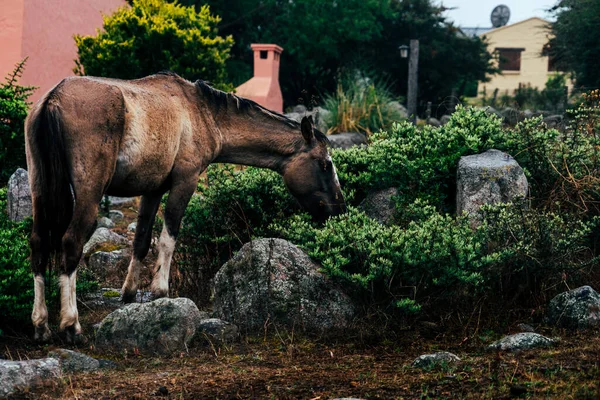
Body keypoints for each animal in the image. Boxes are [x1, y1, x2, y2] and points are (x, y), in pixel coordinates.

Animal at [24, 71, 346, 340]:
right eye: (325, 164)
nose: (339, 208)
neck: (201, 111)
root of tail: (54, 97)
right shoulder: (184, 182)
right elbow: (169, 237)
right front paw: (160, 290)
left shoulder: (152, 190)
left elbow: (141, 240)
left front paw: (129, 294)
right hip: (88, 194)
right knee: (71, 243)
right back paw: (71, 325)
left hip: (39, 190)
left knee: (39, 243)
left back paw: (41, 325)